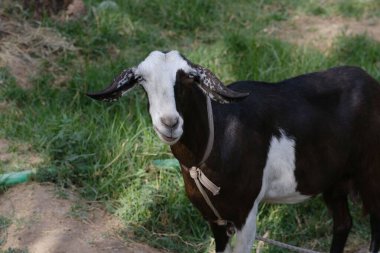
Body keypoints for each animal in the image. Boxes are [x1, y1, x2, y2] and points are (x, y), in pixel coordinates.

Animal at [87, 50, 380, 253]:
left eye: (188, 79)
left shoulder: (245, 213)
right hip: (335, 180)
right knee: (343, 223)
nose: (169, 123)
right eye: (141, 81)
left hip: (371, 174)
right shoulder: (215, 218)